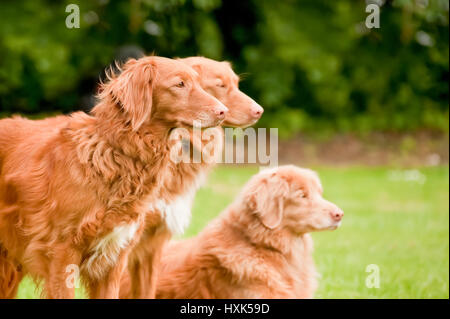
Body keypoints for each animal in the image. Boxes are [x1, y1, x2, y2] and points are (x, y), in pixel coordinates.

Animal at [0, 55, 227, 300]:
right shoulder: (61, 255)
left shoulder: (113, 259)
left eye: (198, 83)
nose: (223, 111)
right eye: (180, 84)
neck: (118, 153)